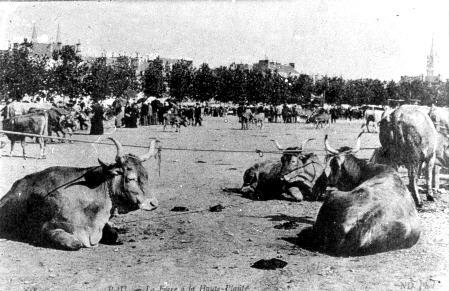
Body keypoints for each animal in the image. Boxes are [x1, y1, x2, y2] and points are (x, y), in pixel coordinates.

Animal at [0, 139, 159, 251]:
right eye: (131, 178)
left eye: (146, 175)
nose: (154, 203)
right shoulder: (46, 228)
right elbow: (76, 243)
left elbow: (114, 234)